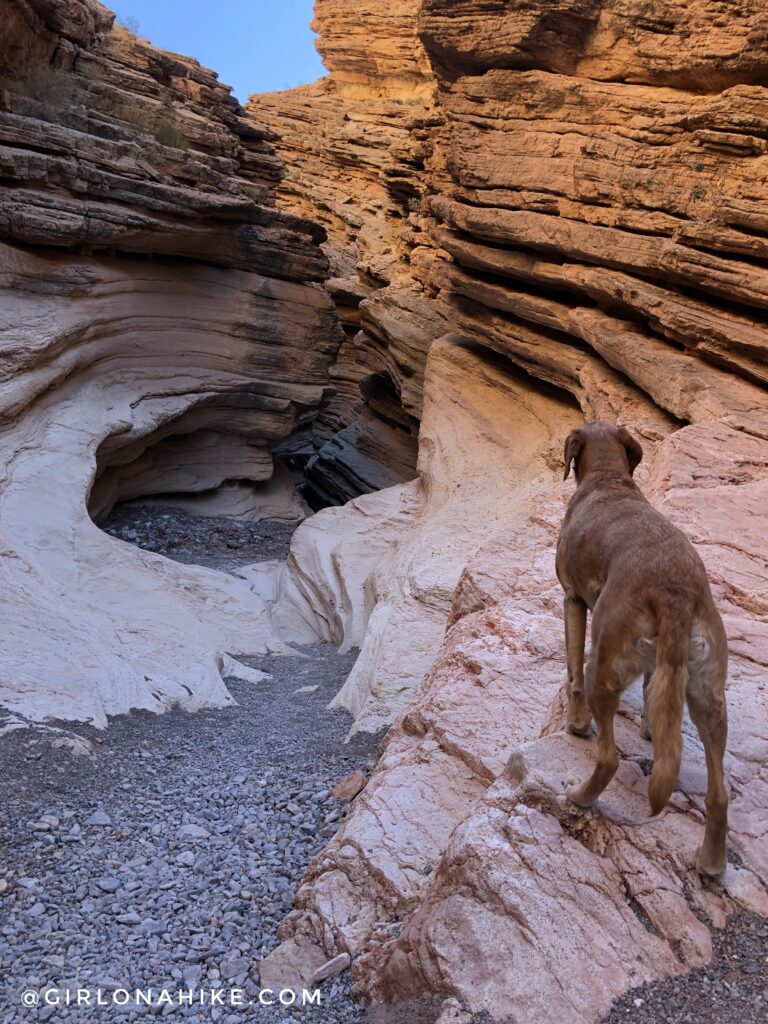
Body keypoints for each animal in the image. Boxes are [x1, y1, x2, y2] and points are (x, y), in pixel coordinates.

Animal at [561, 419, 729, 876]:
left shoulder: (572, 600)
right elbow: (657, 700)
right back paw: (711, 863)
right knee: (719, 793)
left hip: (603, 663)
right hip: (710, 697)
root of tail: (675, 593)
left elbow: (570, 669)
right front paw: (651, 730)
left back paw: (580, 796)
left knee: (608, 758)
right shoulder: (662, 669)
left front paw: (576, 723)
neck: (608, 476)